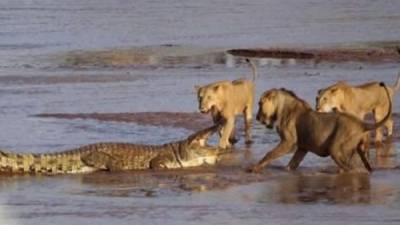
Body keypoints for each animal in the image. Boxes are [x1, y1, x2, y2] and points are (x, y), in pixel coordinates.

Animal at [247, 83, 390, 173]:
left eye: (260, 103)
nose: (257, 118)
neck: (281, 108)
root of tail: (362, 124)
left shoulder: (289, 143)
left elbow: (269, 154)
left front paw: (254, 168)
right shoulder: (302, 148)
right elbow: (291, 164)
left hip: (336, 149)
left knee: (350, 168)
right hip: (360, 151)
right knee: (365, 167)